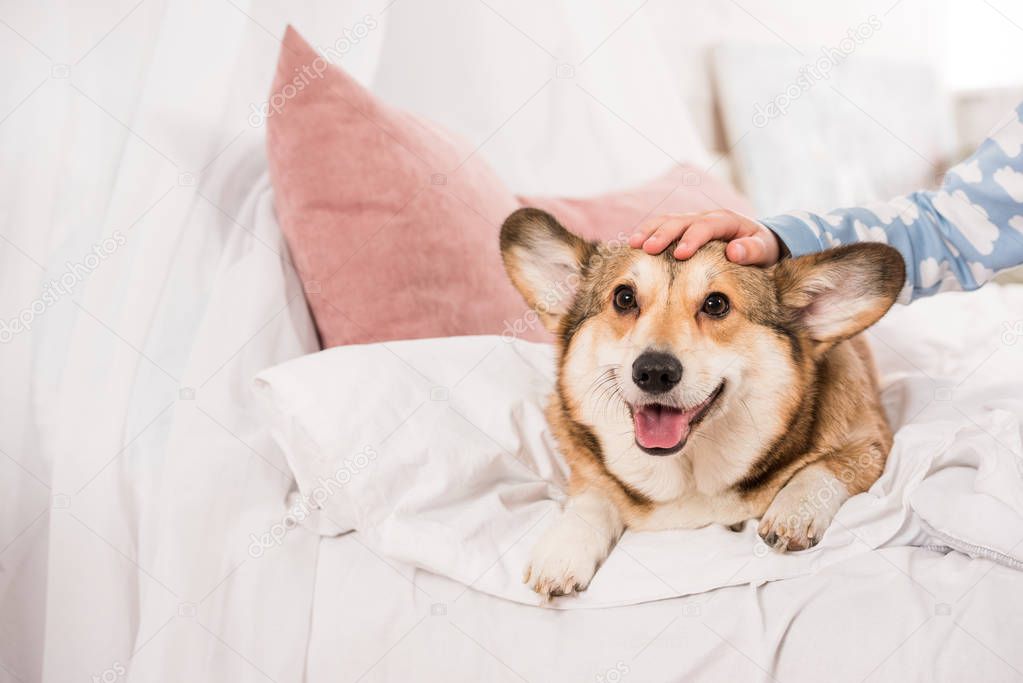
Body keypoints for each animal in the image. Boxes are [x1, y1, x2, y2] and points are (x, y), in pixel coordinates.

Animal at [495, 206, 904, 597]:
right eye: (624, 298)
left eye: (716, 304)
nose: (654, 371)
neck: (690, 476)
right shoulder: (587, 469)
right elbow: (594, 495)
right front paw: (561, 550)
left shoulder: (871, 442)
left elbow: (825, 467)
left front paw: (793, 510)